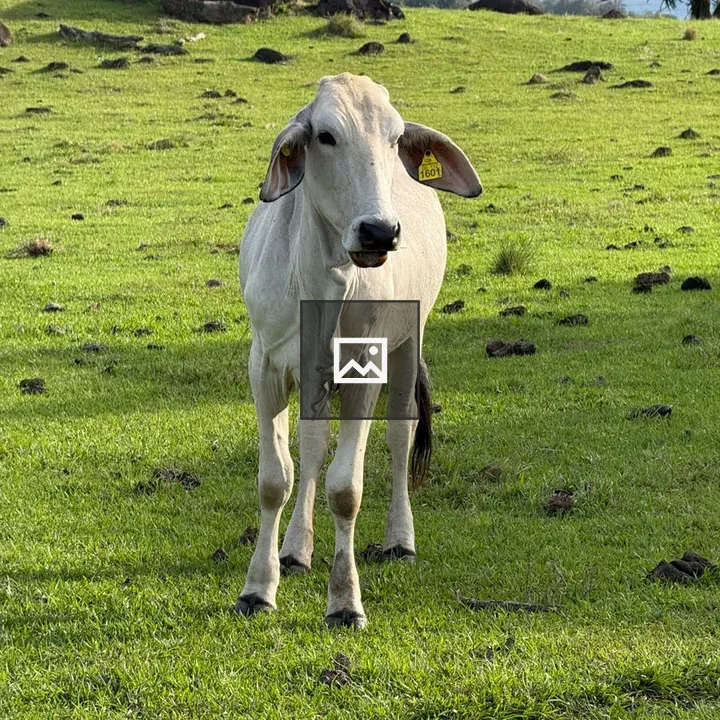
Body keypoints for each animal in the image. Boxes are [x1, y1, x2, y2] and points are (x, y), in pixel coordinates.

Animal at [236, 73, 482, 629]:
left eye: (394, 139)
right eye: (326, 136)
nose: (379, 231)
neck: (324, 286)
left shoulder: (364, 367)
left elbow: (346, 488)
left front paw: (345, 602)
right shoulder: (266, 366)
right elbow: (276, 478)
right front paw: (259, 587)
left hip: (409, 343)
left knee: (399, 436)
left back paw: (399, 540)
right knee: (311, 449)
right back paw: (295, 549)